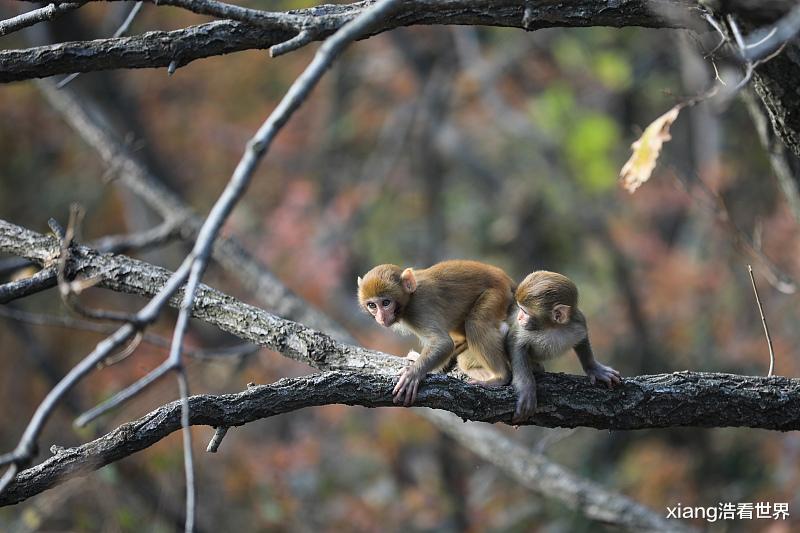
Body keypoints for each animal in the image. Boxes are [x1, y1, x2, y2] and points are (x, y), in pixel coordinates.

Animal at [356, 260, 512, 406]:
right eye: (372, 305)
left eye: (386, 303)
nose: (381, 318)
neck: (409, 299)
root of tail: (503, 277)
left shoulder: (419, 309)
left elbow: (444, 343)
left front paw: (412, 374)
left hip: (496, 294)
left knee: (475, 323)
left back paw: (501, 377)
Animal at [510, 270, 620, 424]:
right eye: (520, 309)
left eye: (525, 311)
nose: (519, 318)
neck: (551, 328)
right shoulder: (523, 330)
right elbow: (516, 346)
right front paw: (526, 389)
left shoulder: (577, 322)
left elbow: (582, 338)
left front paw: (594, 368)